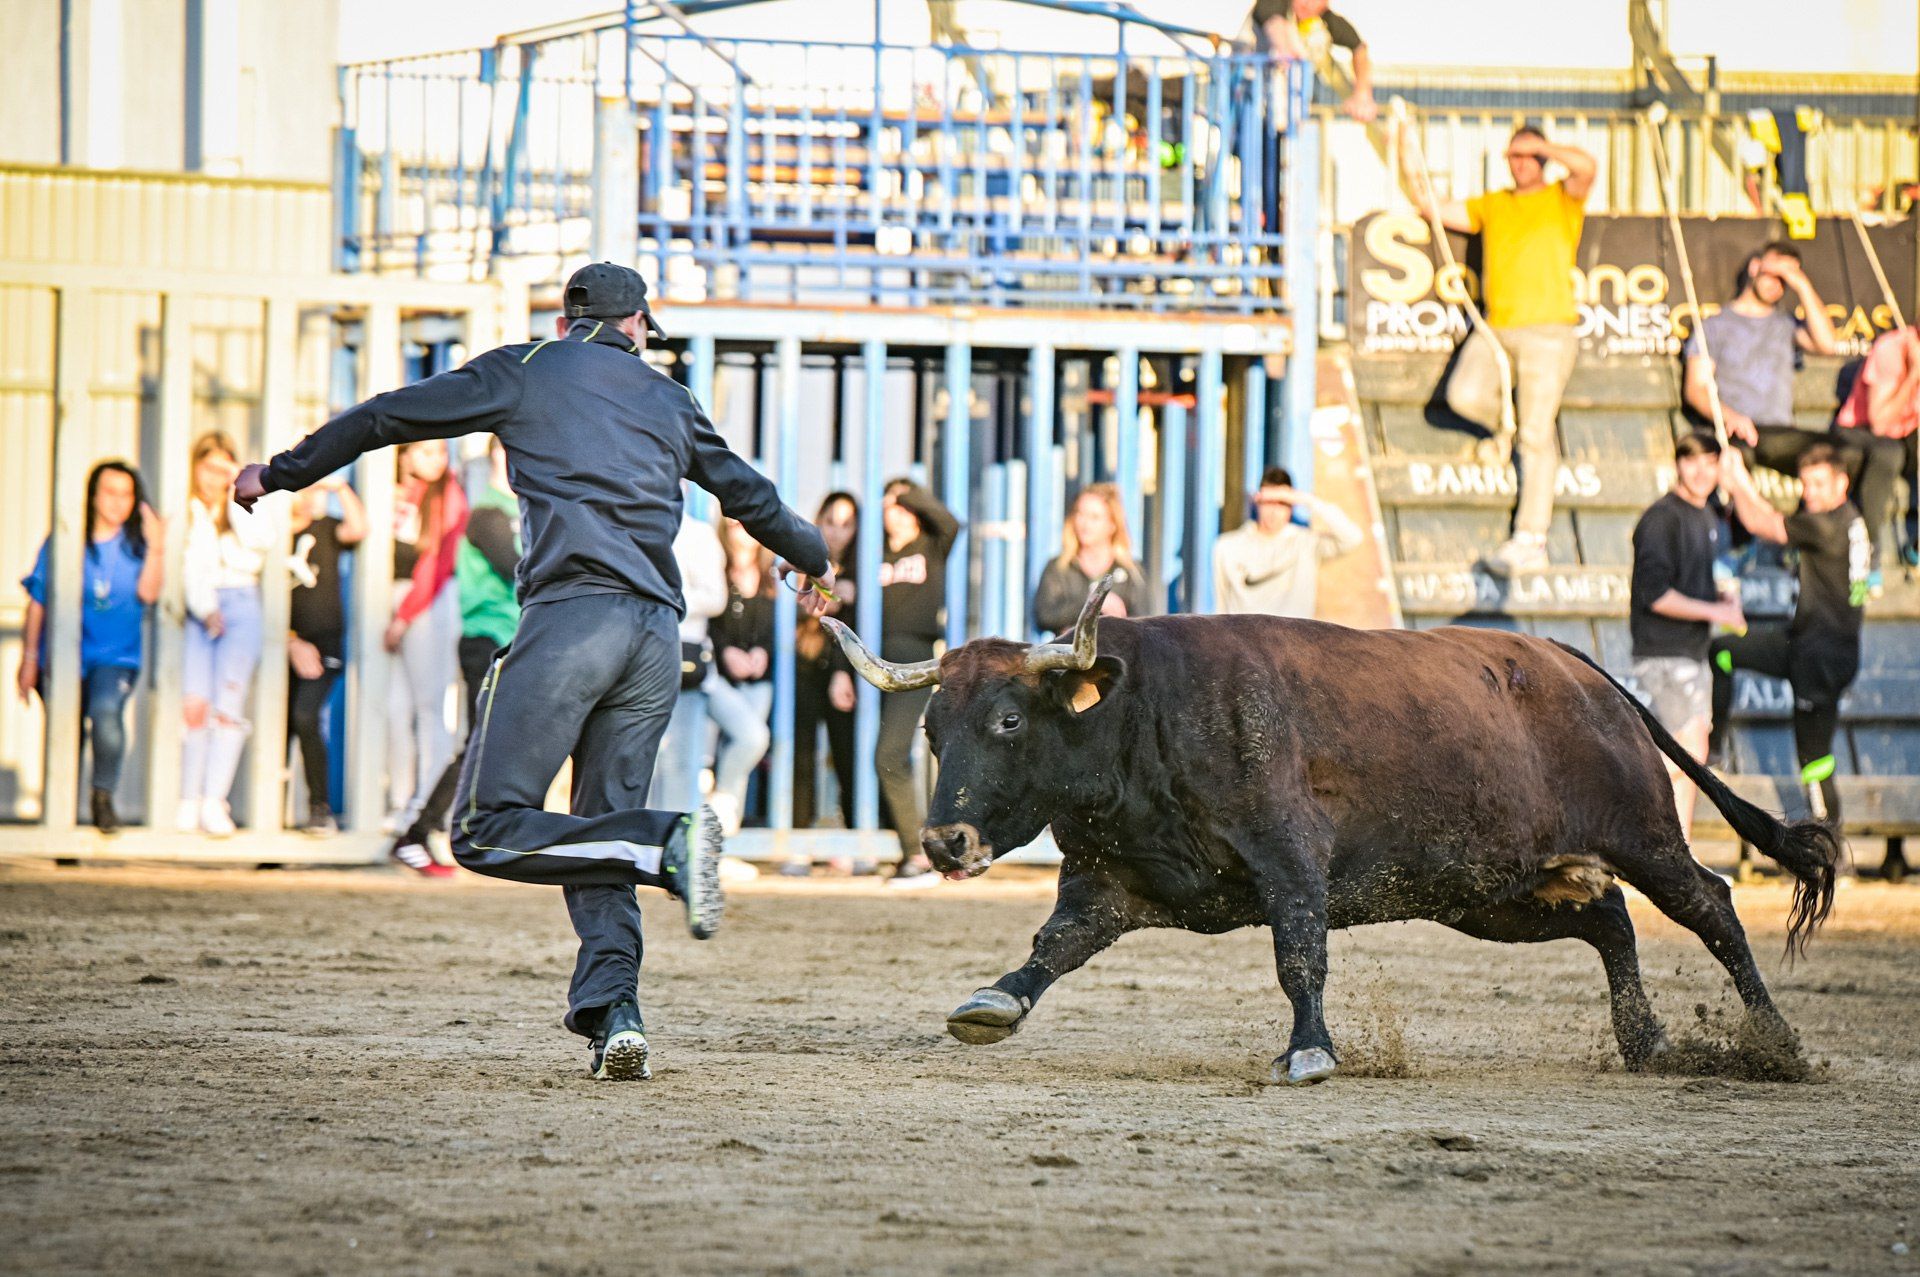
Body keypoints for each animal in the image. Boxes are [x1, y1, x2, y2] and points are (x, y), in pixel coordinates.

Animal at [821, 572, 1827, 1083]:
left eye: (1007, 720)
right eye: (931, 730)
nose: (943, 844)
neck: (1142, 710)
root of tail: (1579, 666)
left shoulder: (1290, 862)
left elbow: (1299, 955)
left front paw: (1309, 1050)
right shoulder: (1111, 882)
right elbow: (1053, 946)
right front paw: (992, 1003)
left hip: (1644, 832)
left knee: (1710, 906)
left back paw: (1774, 1041)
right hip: (1490, 891)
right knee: (1608, 918)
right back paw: (1644, 1040)